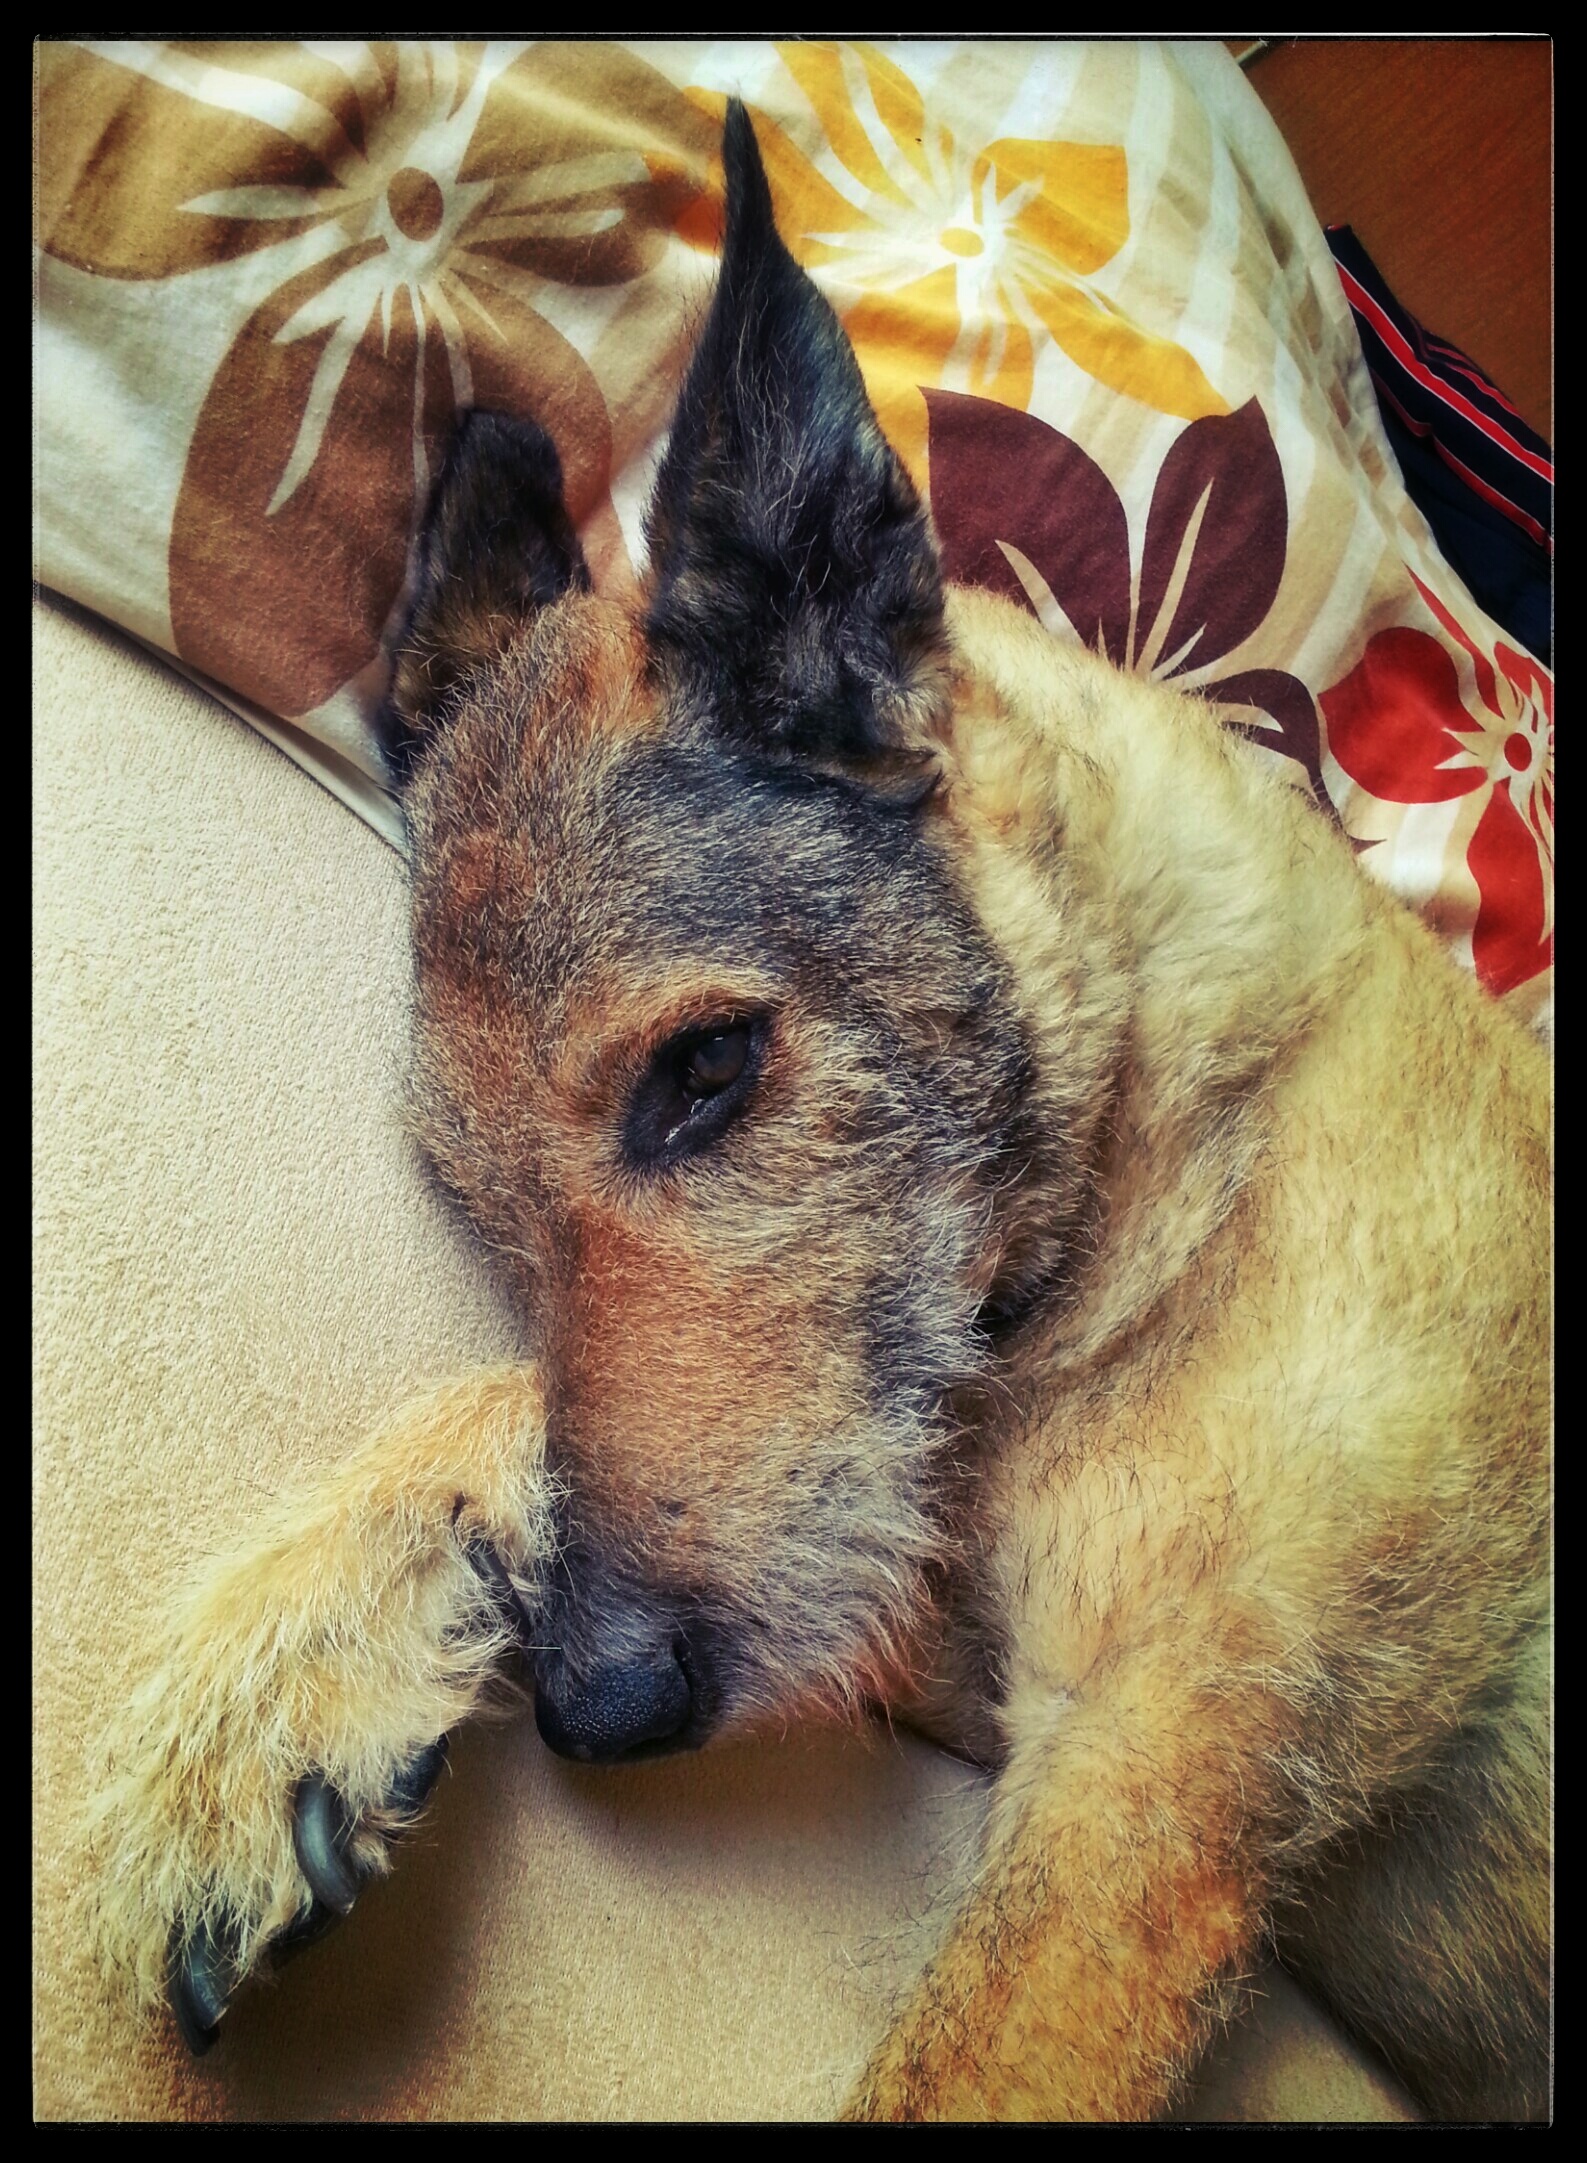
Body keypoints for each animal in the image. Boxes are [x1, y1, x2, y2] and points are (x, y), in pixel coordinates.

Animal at [85, 101, 1551, 2120]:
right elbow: (553, 1402)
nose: (595, 1708)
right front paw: (287, 1666)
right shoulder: (934, 1601)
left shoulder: (1151, 1765)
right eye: (484, 1210)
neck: (1157, 1147)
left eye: (705, 1072)